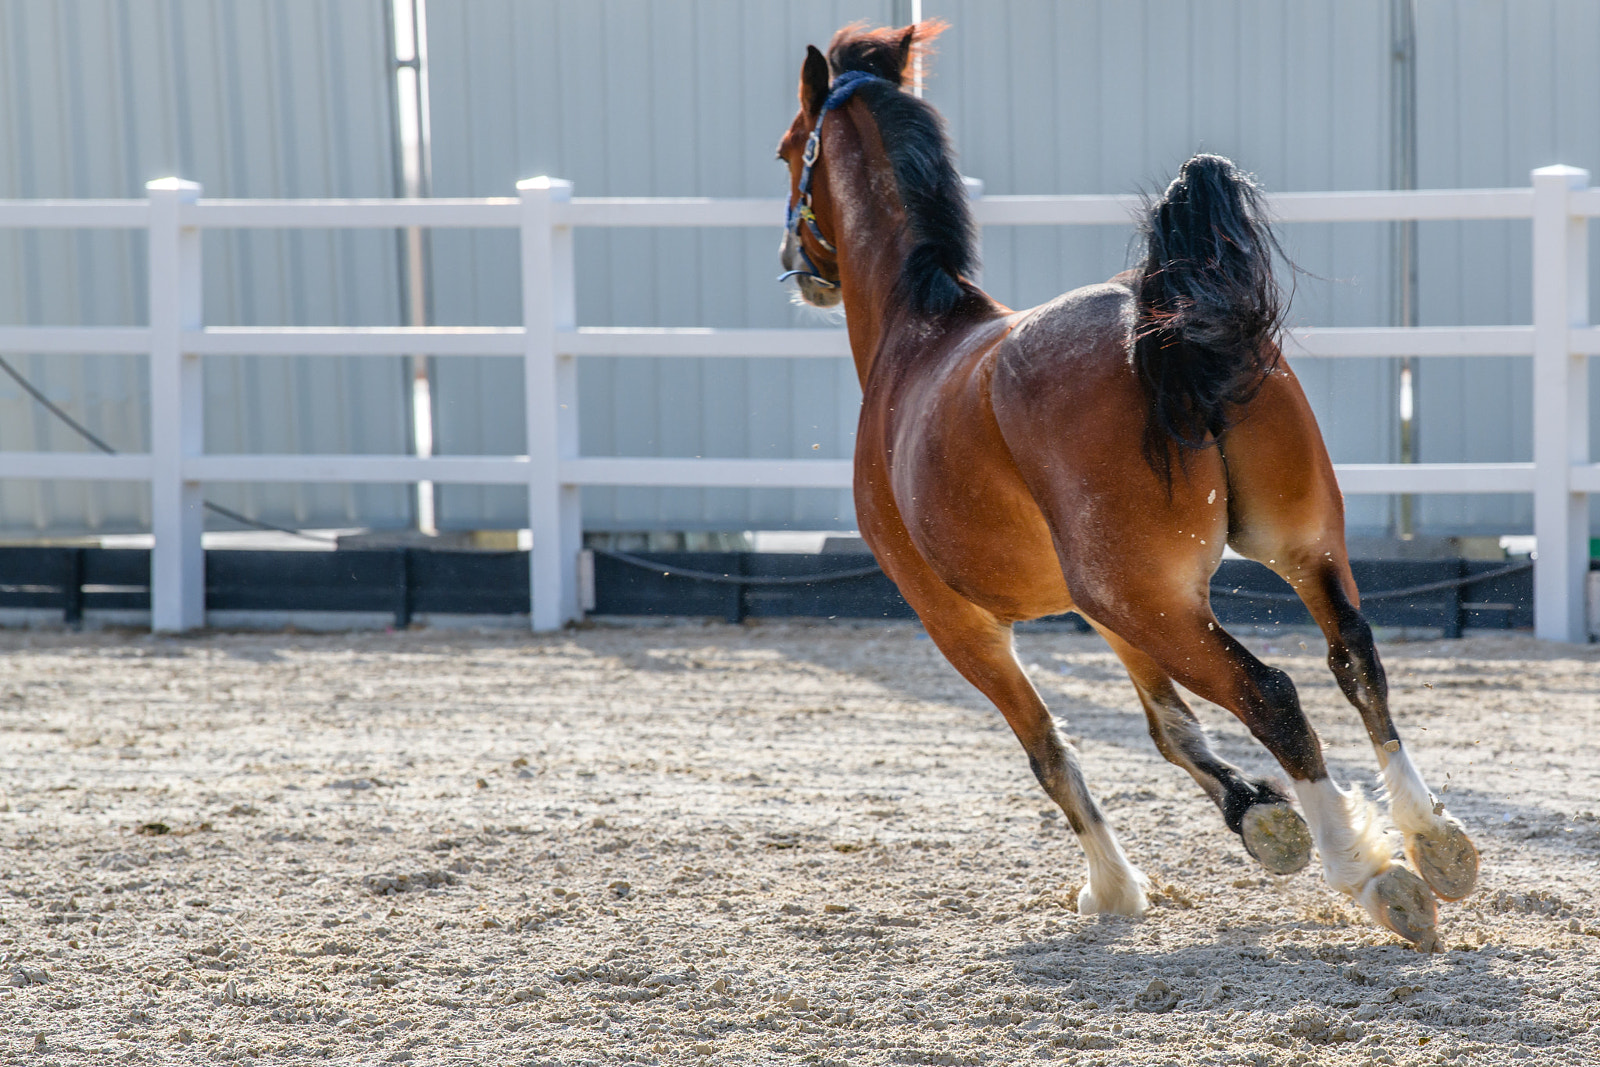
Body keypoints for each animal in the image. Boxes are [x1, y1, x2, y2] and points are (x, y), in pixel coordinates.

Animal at [776, 21, 1478, 950]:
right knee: (1354, 658)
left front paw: (1114, 885)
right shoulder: (1105, 617)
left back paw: (1372, 874)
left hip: (1150, 599)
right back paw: (1433, 839)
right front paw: (1261, 817)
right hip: (1276, 554)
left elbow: (1050, 749)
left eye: (790, 149)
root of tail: (1162, 319)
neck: (917, 337)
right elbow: (1169, 727)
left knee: (1272, 693)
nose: (795, 260)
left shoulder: (960, 623)